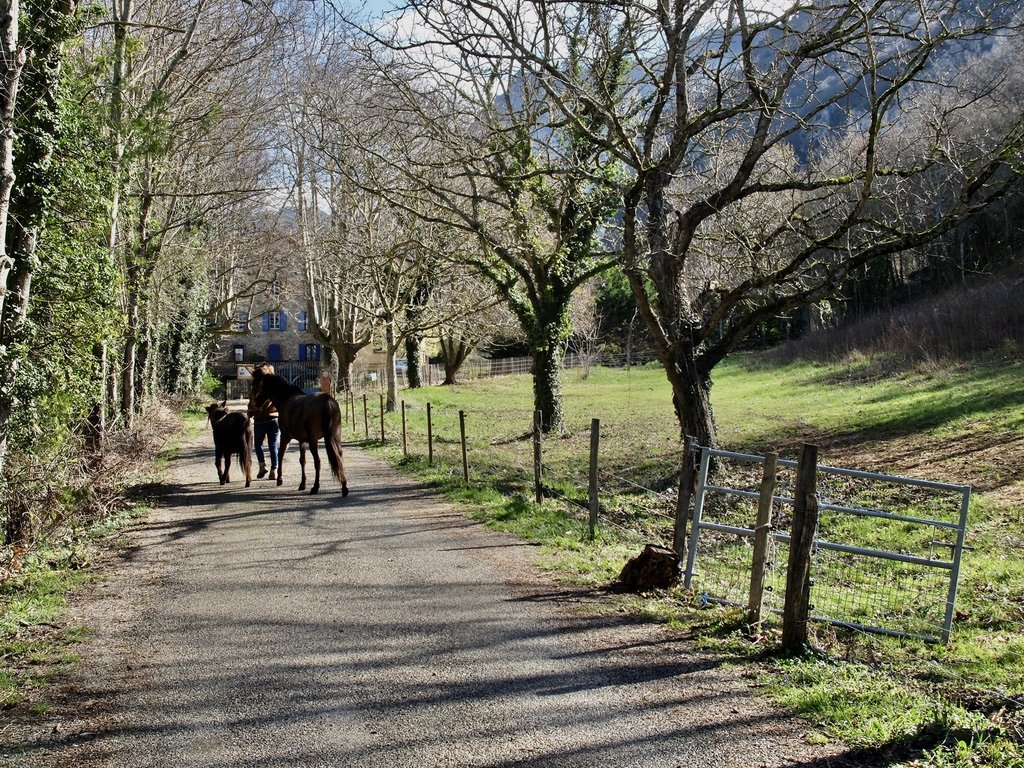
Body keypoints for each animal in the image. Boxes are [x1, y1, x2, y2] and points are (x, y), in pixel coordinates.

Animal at [249, 368, 350, 499]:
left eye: (255, 384)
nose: (254, 403)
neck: (286, 398)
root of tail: (327, 401)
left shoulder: (285, 436)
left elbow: (280, 454)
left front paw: (279, 479)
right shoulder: (302, 441)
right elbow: (302, 460)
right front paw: (302, 483)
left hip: (313, 441)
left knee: (318, 462)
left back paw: (315, 487)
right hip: (336, 437)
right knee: (339, 457)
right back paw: (344, 486)